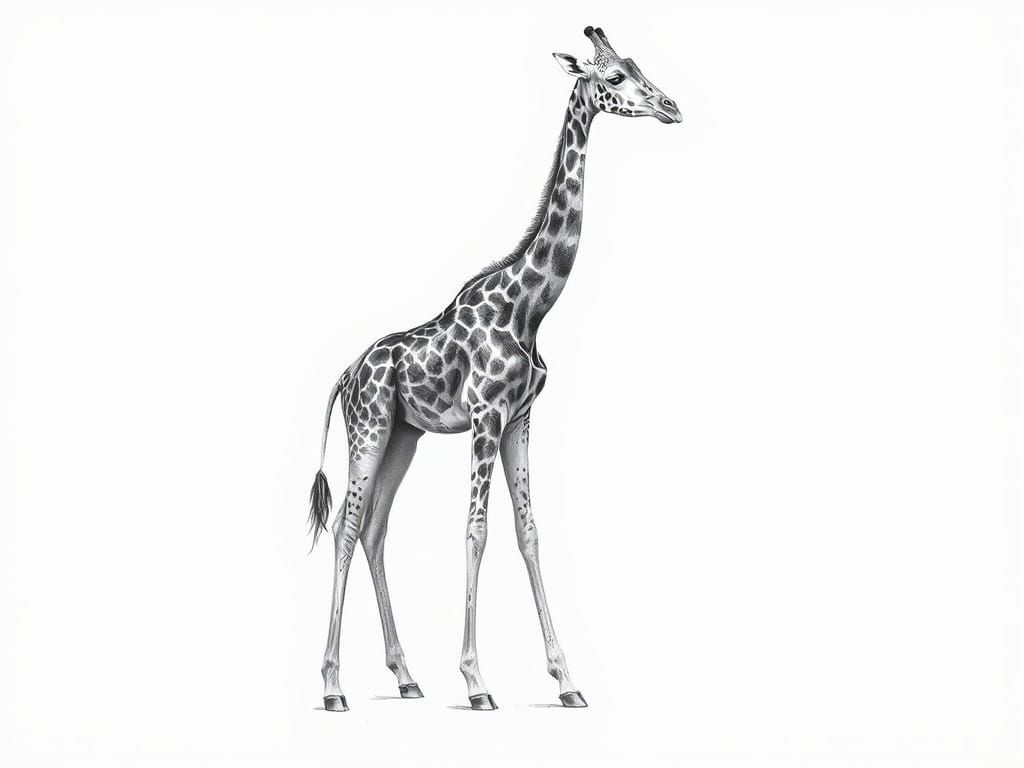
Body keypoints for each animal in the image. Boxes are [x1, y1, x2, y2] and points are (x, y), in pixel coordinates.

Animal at [308, 26, 681, 712]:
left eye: (637, 64)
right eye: (614, 77)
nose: (671, 106)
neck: (530, 305)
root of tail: (347, 372)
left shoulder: (520, 420)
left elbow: (528, 530)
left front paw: (567, 680)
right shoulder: (485, 417)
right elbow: (476, 531)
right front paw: (478, 681)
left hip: (403, 436)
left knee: (375, 530)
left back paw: (405, 677)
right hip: (368, 430)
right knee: (347, 528)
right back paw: (333, 685)